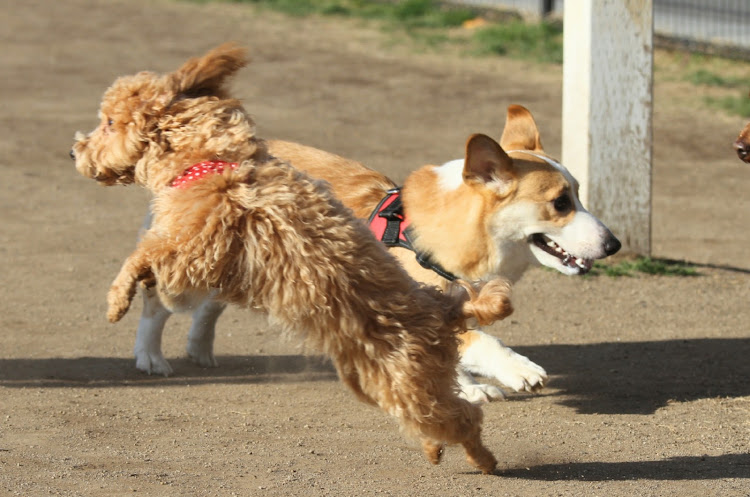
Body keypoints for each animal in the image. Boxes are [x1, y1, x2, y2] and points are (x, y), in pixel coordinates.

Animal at [72, 43, 516, 472]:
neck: (214, 162)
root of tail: (444, 308)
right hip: (388, 381)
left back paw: (484, 461)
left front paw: (116, 299)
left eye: (109, 122)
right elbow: (149, 260)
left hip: (405, 379)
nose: (74, 150)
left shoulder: (197, 249)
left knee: (461, 418)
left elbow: (141, 255)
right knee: (437, 413)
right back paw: (435, 447)